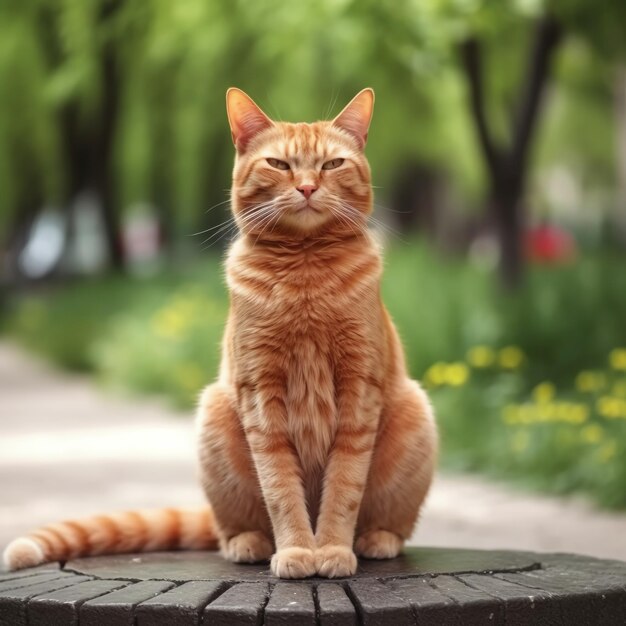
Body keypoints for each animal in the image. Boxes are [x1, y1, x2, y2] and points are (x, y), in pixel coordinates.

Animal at [3, 86, 434, 576]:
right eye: (279, 164)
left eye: (331, 165)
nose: (307, 187)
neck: (305, 274)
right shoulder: (261, 396)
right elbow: (280, 490)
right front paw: (297, 550)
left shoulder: (358, 391)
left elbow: (344, 487)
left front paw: (331, 550)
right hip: (215, 415)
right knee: (234, 527)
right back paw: (249, 544)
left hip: (414, 413)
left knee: (390, 524)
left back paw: (376, 539)